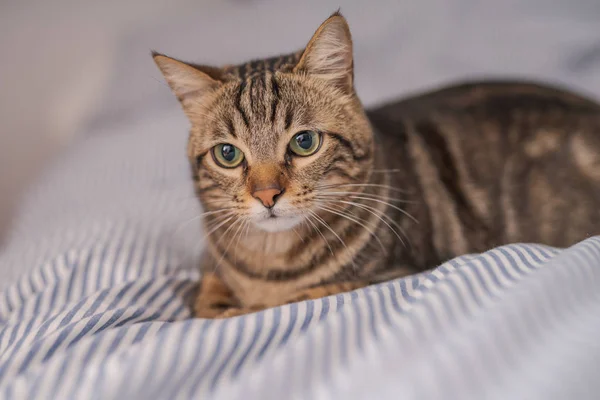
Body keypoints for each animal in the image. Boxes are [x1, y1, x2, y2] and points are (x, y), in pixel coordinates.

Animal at [154, 10, 600, 318]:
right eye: (228, 154)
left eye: (304, 142)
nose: (267, 195)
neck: (271, 261)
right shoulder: (212, 270)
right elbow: (207, 298)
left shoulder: (394, 273)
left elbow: (292, 300)